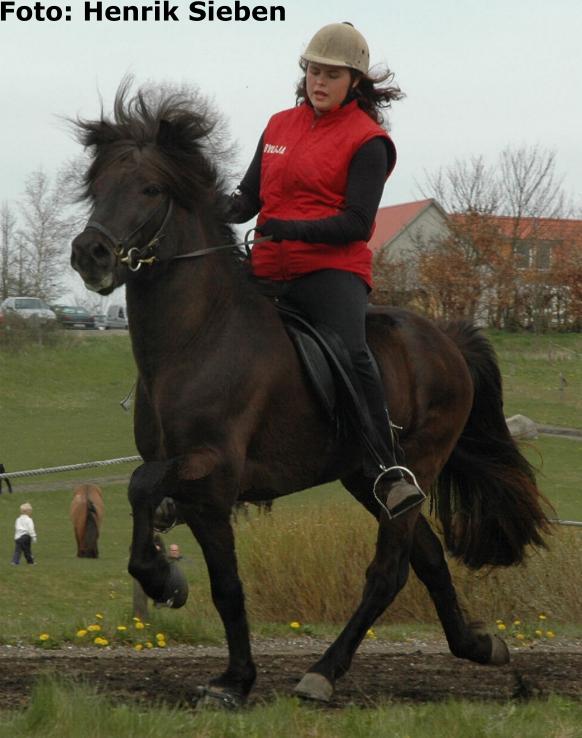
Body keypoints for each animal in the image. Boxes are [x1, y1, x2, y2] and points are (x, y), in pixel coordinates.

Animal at [69, 82, 552, 708]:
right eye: (99, 185)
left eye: (150, 188)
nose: (90, 254)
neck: (198, 338)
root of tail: (446, 337)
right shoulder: (200, 493)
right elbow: (218, 577)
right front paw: (226, 666)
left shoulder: (212, 469)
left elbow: (144, 489)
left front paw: (168, 587)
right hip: (365, 475)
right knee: (427, 557)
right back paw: (477, 645)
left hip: (415, 463)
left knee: (390, 570)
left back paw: (324, 671)